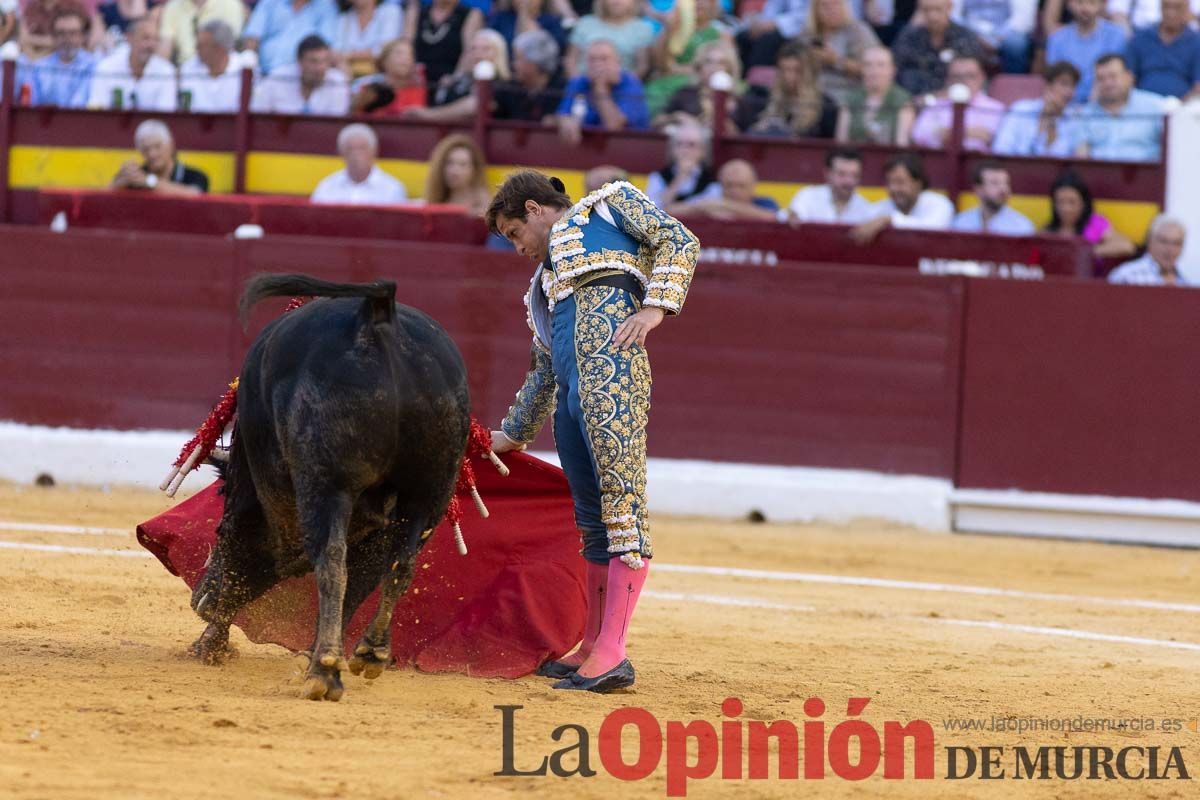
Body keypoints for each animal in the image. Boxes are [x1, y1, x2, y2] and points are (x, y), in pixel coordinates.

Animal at [189, 275, 470, 700]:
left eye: (217, 525)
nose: (198, 598)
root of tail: (378, 317)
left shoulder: (256, 502)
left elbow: (243, 559)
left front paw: (211, 645)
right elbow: (364, 578)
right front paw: (318, 655)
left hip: (326, 484)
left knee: (332, 561)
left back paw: (324, 675)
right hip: (432, 491)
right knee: (401, 565)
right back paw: (370, 652)